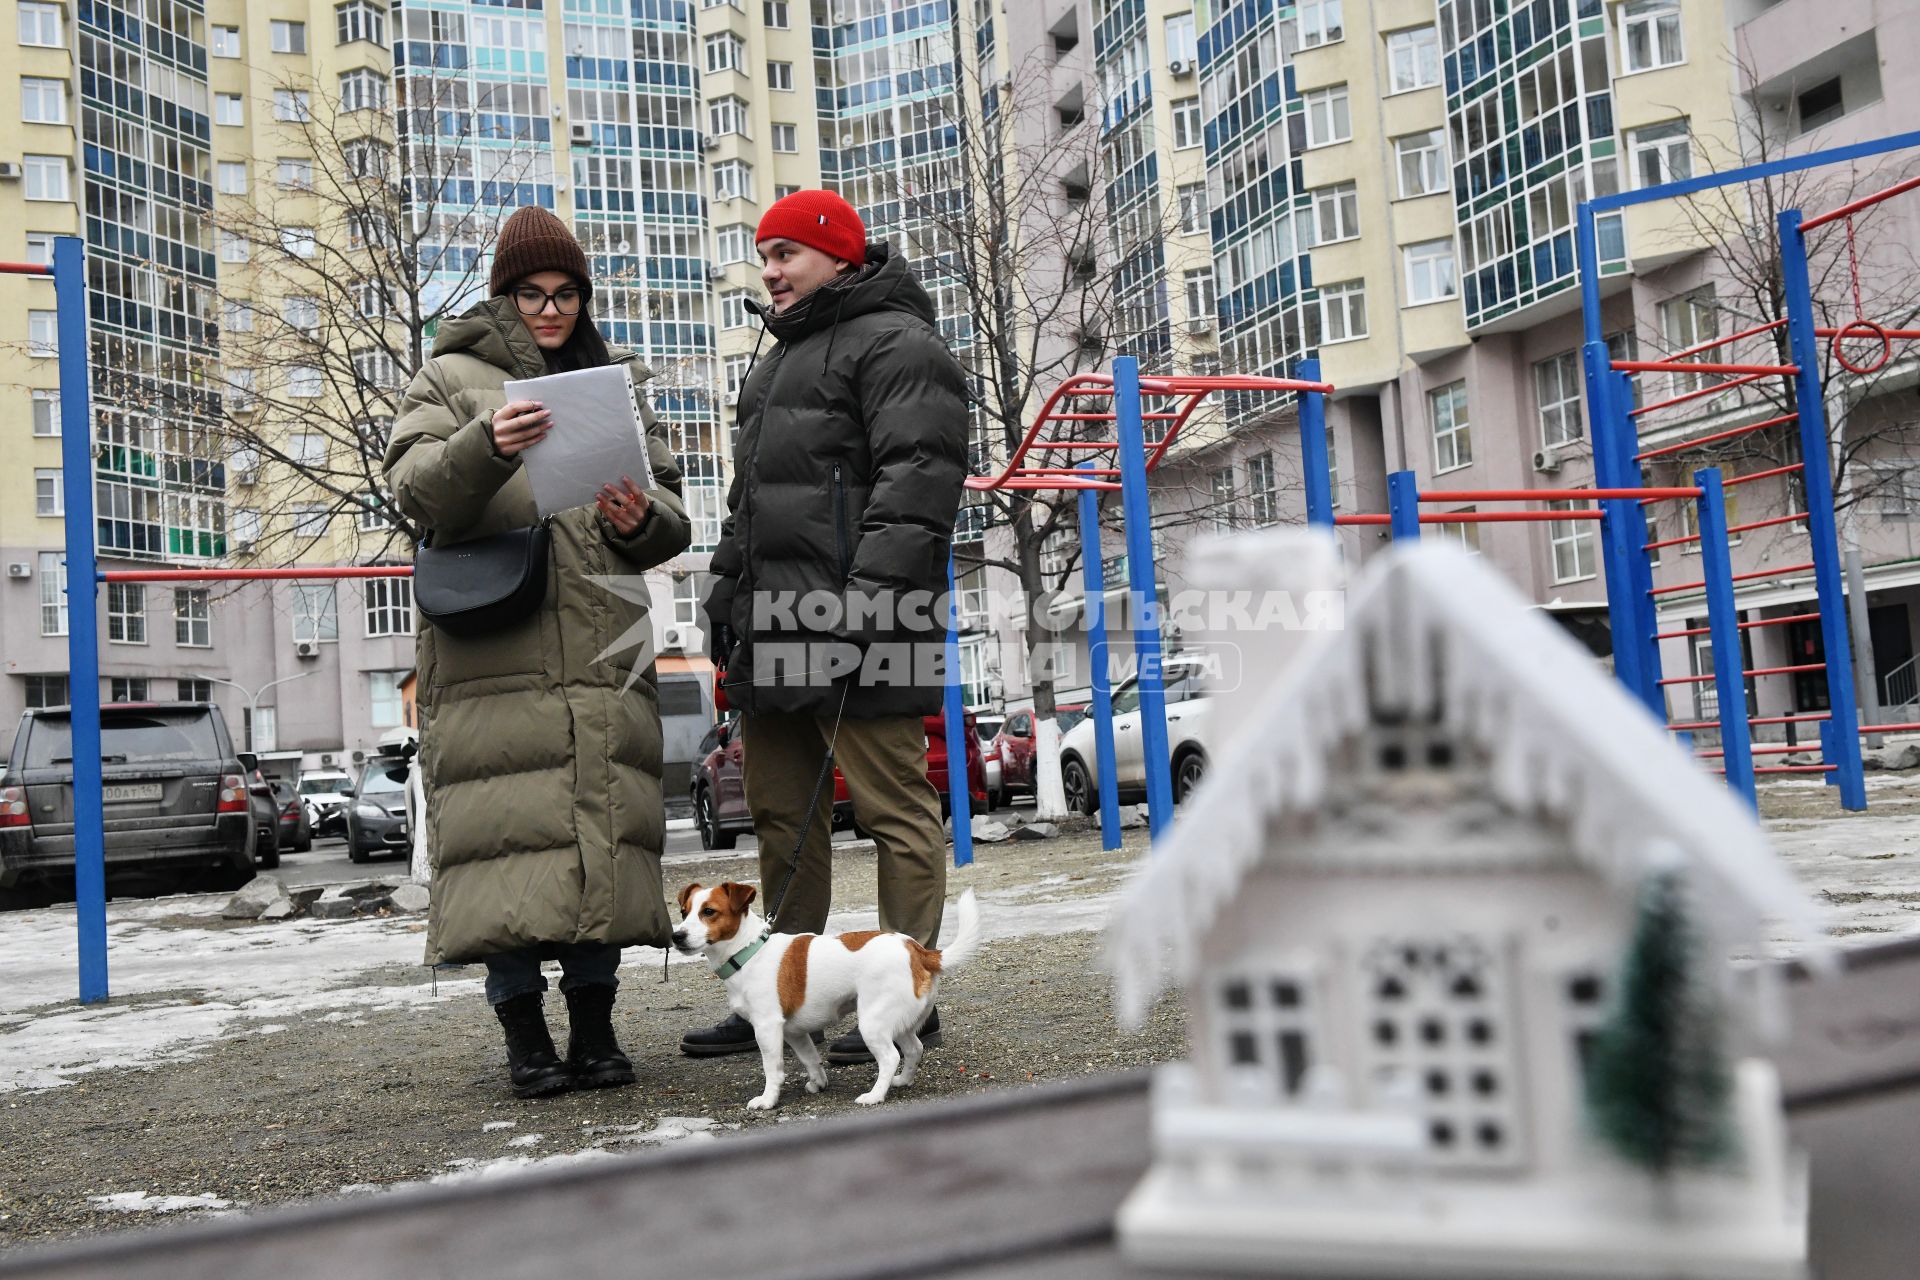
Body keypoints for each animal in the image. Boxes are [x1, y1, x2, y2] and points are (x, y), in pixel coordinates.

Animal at [672, 882, 975, 1113]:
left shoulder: (767, 1028)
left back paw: (875, 1095)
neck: (748, 951)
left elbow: (772, 1068)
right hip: (898, 1022)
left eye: (709, 912)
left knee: (890, 1057)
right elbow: (809, 1058)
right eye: (684, 912)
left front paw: (768, 1100)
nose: (677, 936)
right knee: (914, 1049)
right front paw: (818, 1083)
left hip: (872, 1023)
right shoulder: (793, 1031)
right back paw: (902, 1081)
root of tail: (919, 951)